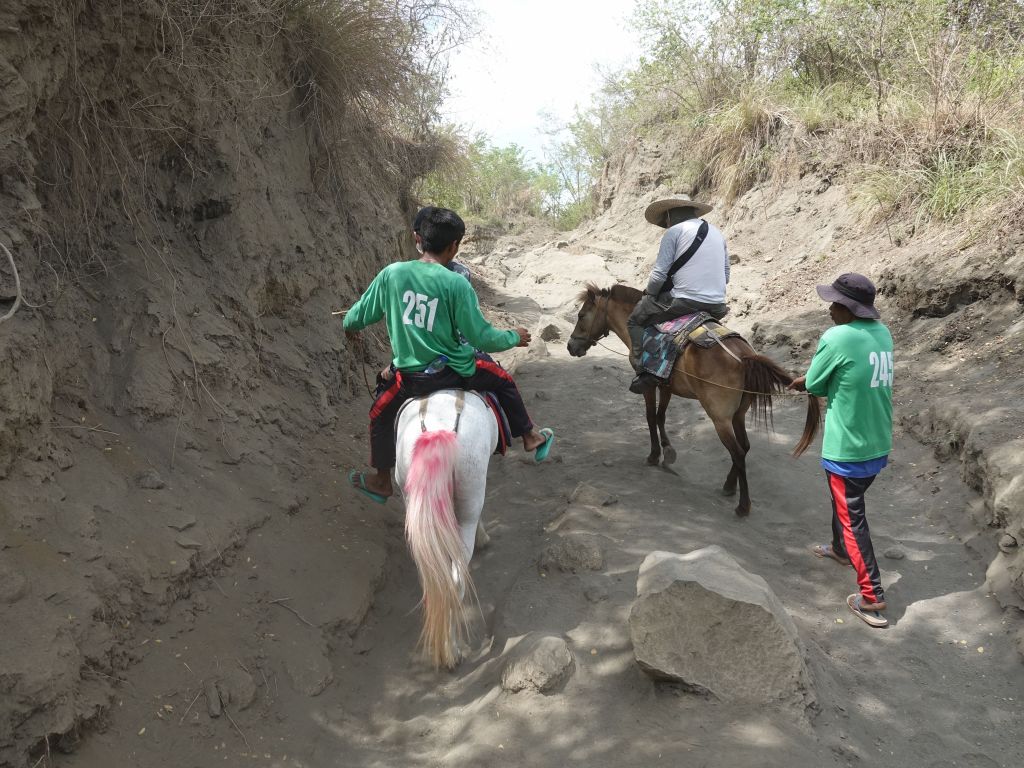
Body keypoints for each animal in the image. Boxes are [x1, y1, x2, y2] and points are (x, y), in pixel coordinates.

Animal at [393, 387, 497, 671]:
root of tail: (436, 431)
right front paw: (485, 537)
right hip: (468, 501)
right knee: (454, 582)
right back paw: (452, 652)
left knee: (434, 579)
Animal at [565, 284, 819, 518]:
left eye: (581, 315)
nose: (571, 346)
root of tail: (745, 356)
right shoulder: (666, 385)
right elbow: (661, 416)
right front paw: (668, 452)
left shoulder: (649, 384)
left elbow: (650, 417)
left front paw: (654, 455)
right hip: (738, 415)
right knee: (744, 447)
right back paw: (729, 486)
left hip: (720, 418)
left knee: (737, 452)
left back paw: (743, 505)